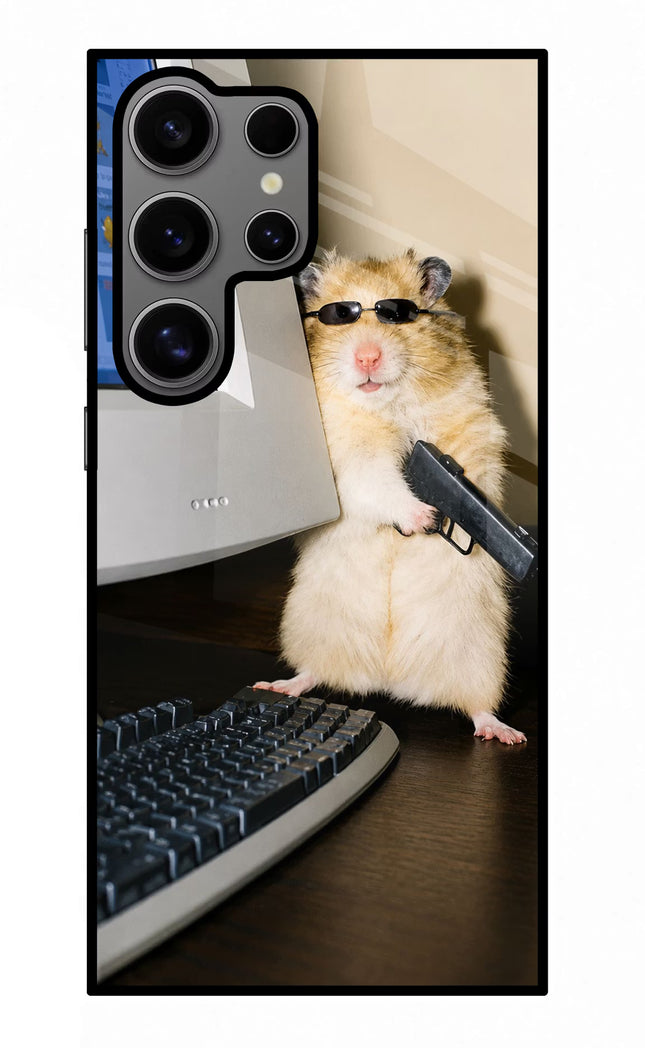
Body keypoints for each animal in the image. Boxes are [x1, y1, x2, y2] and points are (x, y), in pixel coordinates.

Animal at [255, 249, 526, 744]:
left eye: (397, 314)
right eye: (339, 315)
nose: (367, 357)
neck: (386, 404)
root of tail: (389, 679)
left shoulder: (471, 427)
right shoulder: (347, 458)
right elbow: (378, 482)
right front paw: (423, 518)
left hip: (479, 654)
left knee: (477, 705)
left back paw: (504, 733)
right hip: (311, 626)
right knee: (314, 672)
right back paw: (279, 685)